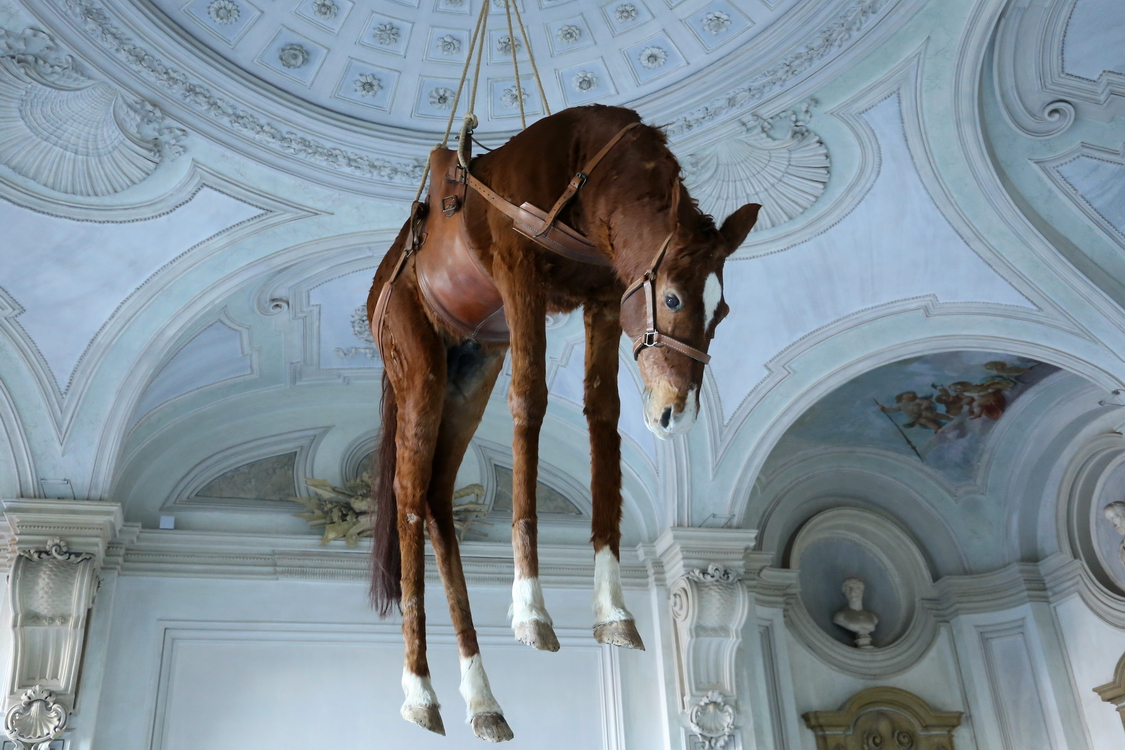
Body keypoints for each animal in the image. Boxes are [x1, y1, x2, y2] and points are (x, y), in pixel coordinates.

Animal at [364, 105, 760, 746]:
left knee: (437, 495)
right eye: (674, 300)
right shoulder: (517, 268)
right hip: (418, 364)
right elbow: (531, 399)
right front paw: (530, 608)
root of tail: (382, 277)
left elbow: (603, 419)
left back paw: (482, 699)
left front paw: (613, 609)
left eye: (722, 310)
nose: (675, 414)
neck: (584, 172)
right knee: (406, 493)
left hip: (472, 363)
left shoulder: (604, 296)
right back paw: (420, 693)